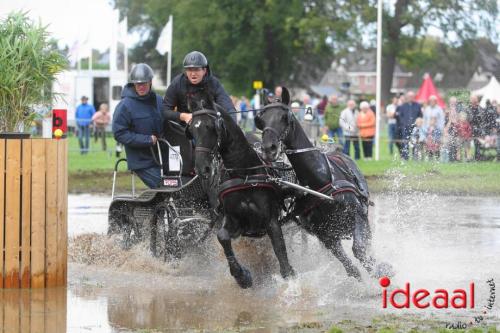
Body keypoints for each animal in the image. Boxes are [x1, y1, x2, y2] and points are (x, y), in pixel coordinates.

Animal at [186, 102, 294, 288]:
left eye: (211, 127)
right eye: (191, 130)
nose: (202, 168)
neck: (244, 174)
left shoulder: (271, 221)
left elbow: (281, 254)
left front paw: (291, 281)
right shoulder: (235, 222)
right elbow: (222, 237)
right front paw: (242, 276)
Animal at [256, 87, 392, 278]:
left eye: (285, 116)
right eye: (260, 120)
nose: (269, 149)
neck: (321, 182)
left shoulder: (357, 214)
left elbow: (359, 250)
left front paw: (381, 270)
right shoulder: (326, 236)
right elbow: (350, 268)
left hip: (364, 217)